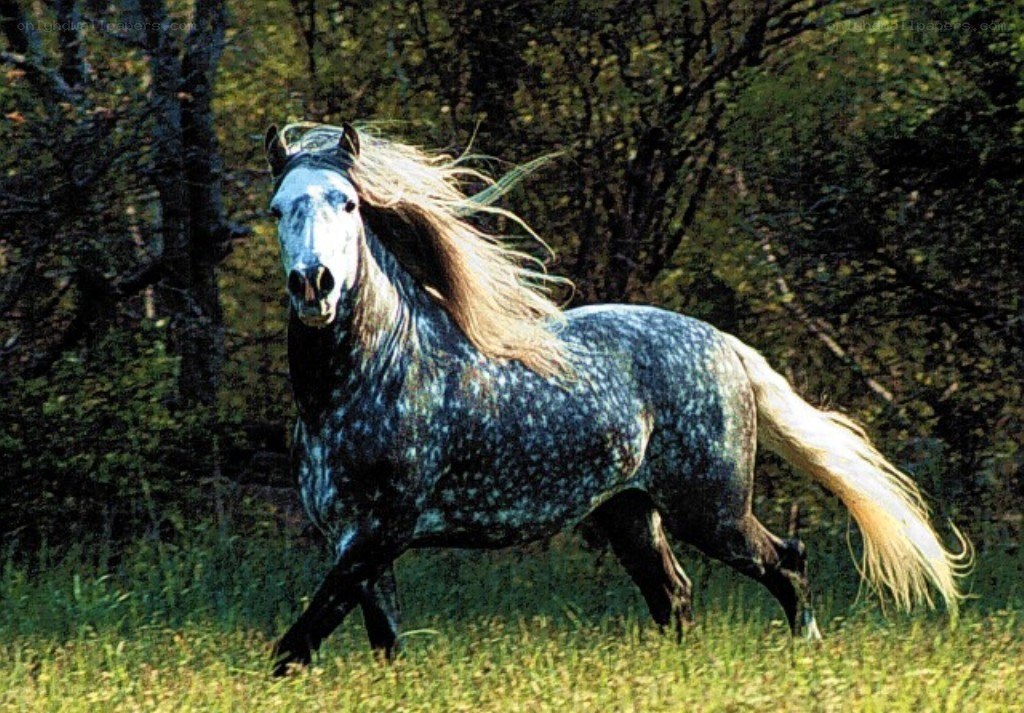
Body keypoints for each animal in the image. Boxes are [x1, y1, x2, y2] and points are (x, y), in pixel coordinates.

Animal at [262, 122, 967, 675]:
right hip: (631, 513)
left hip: (711, 511)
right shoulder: (357, 543)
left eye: (349, 203)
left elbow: (295, 646)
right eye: (276, 207)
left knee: (785, 563)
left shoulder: (381, 533)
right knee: (674, 596)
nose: (314, 285)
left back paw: (807, 654)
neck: (372, 379)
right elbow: (381, 643)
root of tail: (725, 344)